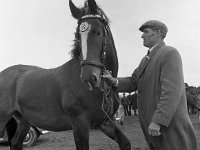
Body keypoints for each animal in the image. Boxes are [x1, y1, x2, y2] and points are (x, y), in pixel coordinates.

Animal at [0, 0, 131, 149]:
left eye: (98, 32)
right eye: (77, 36)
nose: (89, 78)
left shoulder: (105, 121)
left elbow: (125, 143)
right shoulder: (80, 124)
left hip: (24, 120)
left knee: (16, 143)